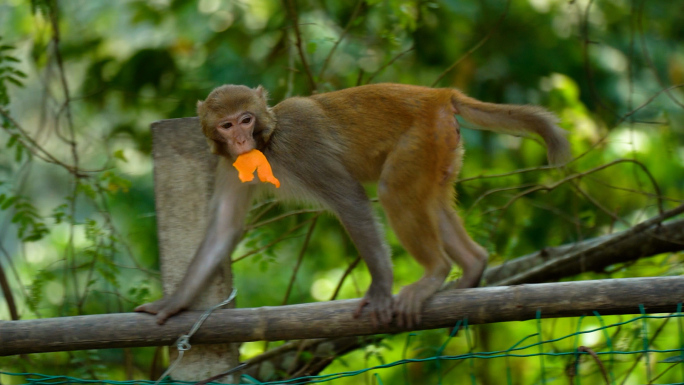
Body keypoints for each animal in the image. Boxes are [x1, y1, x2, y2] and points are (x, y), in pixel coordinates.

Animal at [135, 82, 572, 326]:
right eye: (226, 125)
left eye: (246, 119)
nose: (241, 141)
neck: (269, 140)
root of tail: (439, 95)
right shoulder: (229, 167)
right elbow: (223, 227)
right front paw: (172, 305)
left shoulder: (302, 149)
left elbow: (351, 200)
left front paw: (380, 289)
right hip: (444, 145)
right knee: (430, 200)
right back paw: (472, 266)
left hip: (423, 137)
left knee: (394, 191)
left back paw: (434, 272)